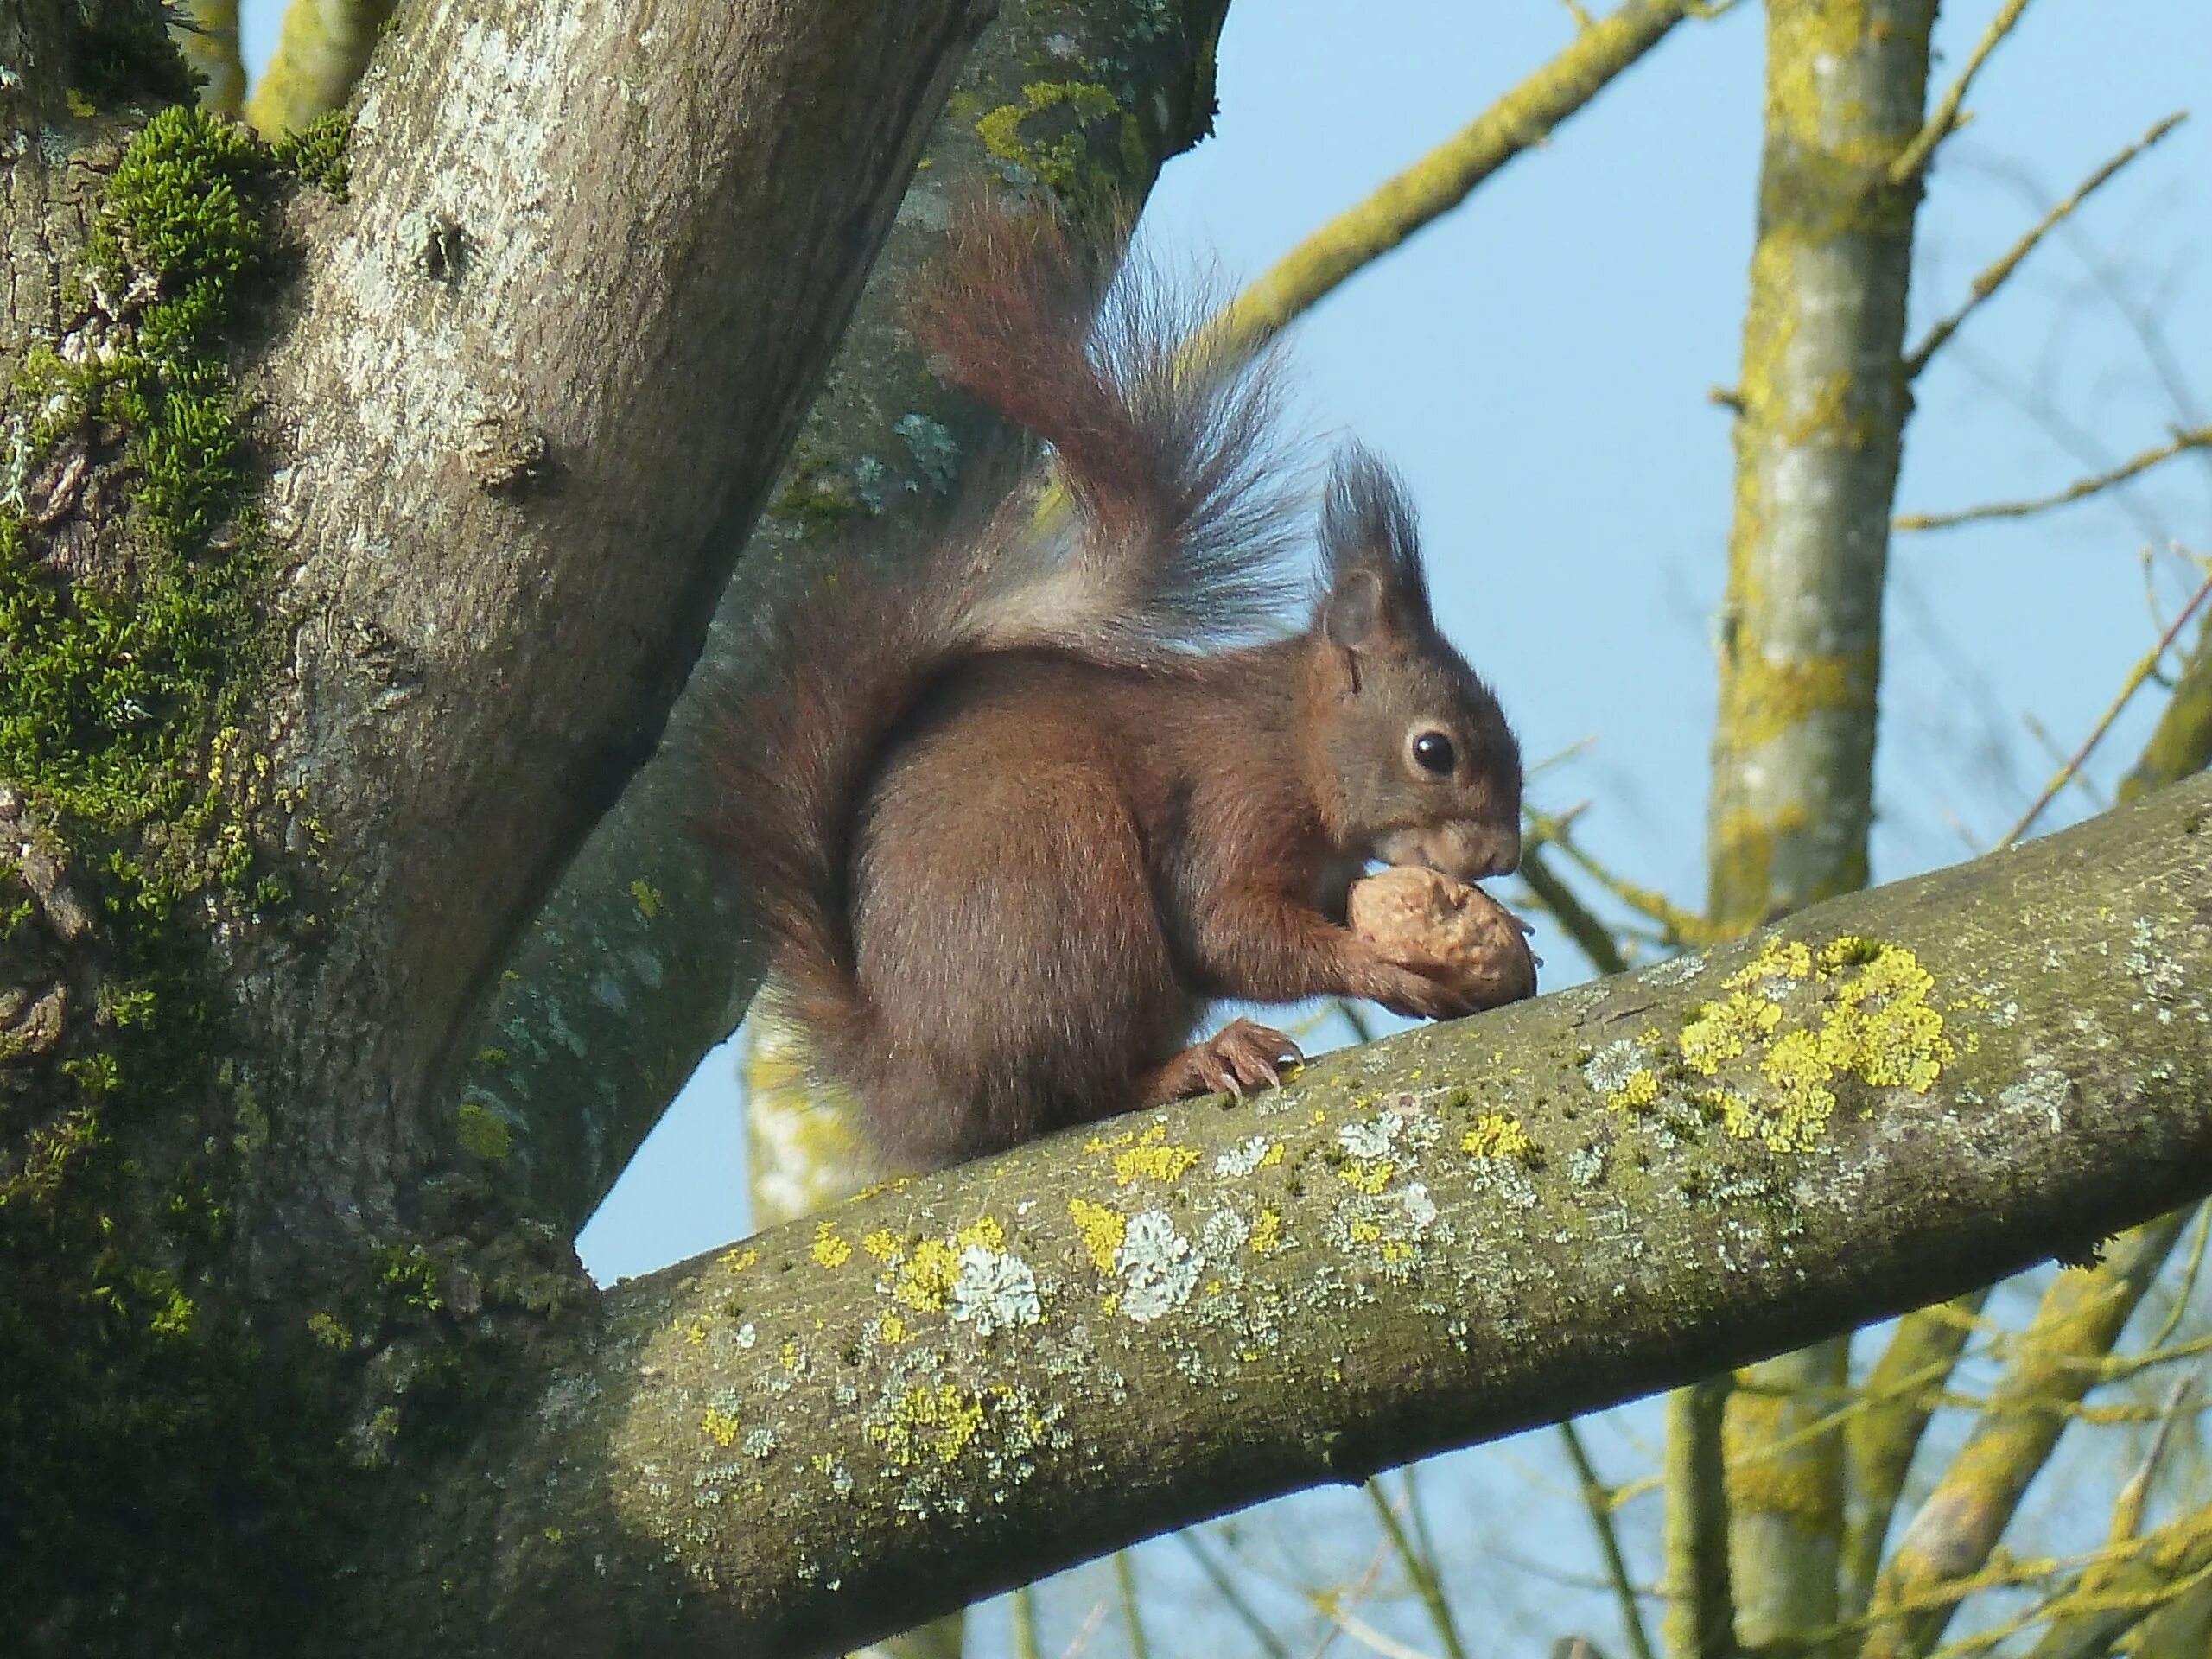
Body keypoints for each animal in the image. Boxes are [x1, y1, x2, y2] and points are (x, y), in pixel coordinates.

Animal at [708, 207, 1522, 1167]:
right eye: (1435, 751)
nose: (1503, 858)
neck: (1295, 742)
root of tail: (917, 1082)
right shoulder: (1232, 803)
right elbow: (1228, 930)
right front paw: (1386, 967)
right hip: (1067, 891)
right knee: (1082, 1087)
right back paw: (1198, 1062)